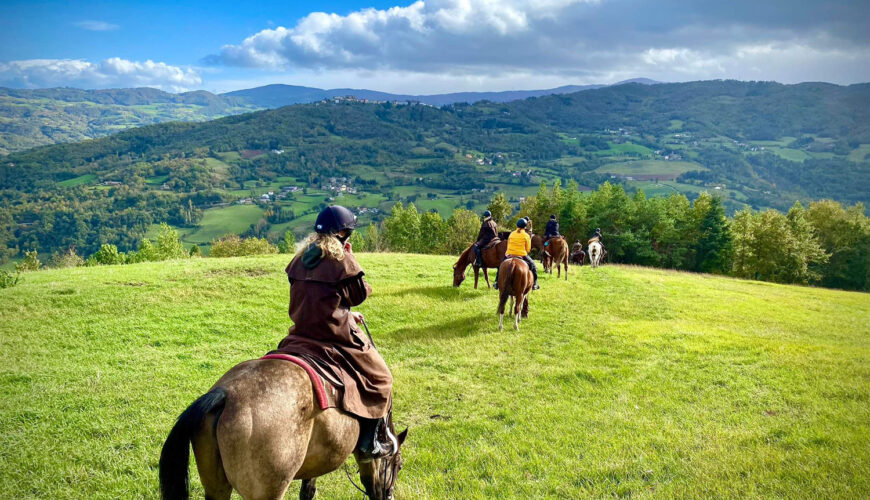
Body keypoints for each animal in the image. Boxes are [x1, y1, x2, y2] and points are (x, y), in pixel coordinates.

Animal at [158, 358, 410, 498]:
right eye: (399, 465)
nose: (390, 495)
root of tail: (226, 394)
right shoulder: (367, 458)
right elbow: (372, 485)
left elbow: (307, 490)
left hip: (216, 487)